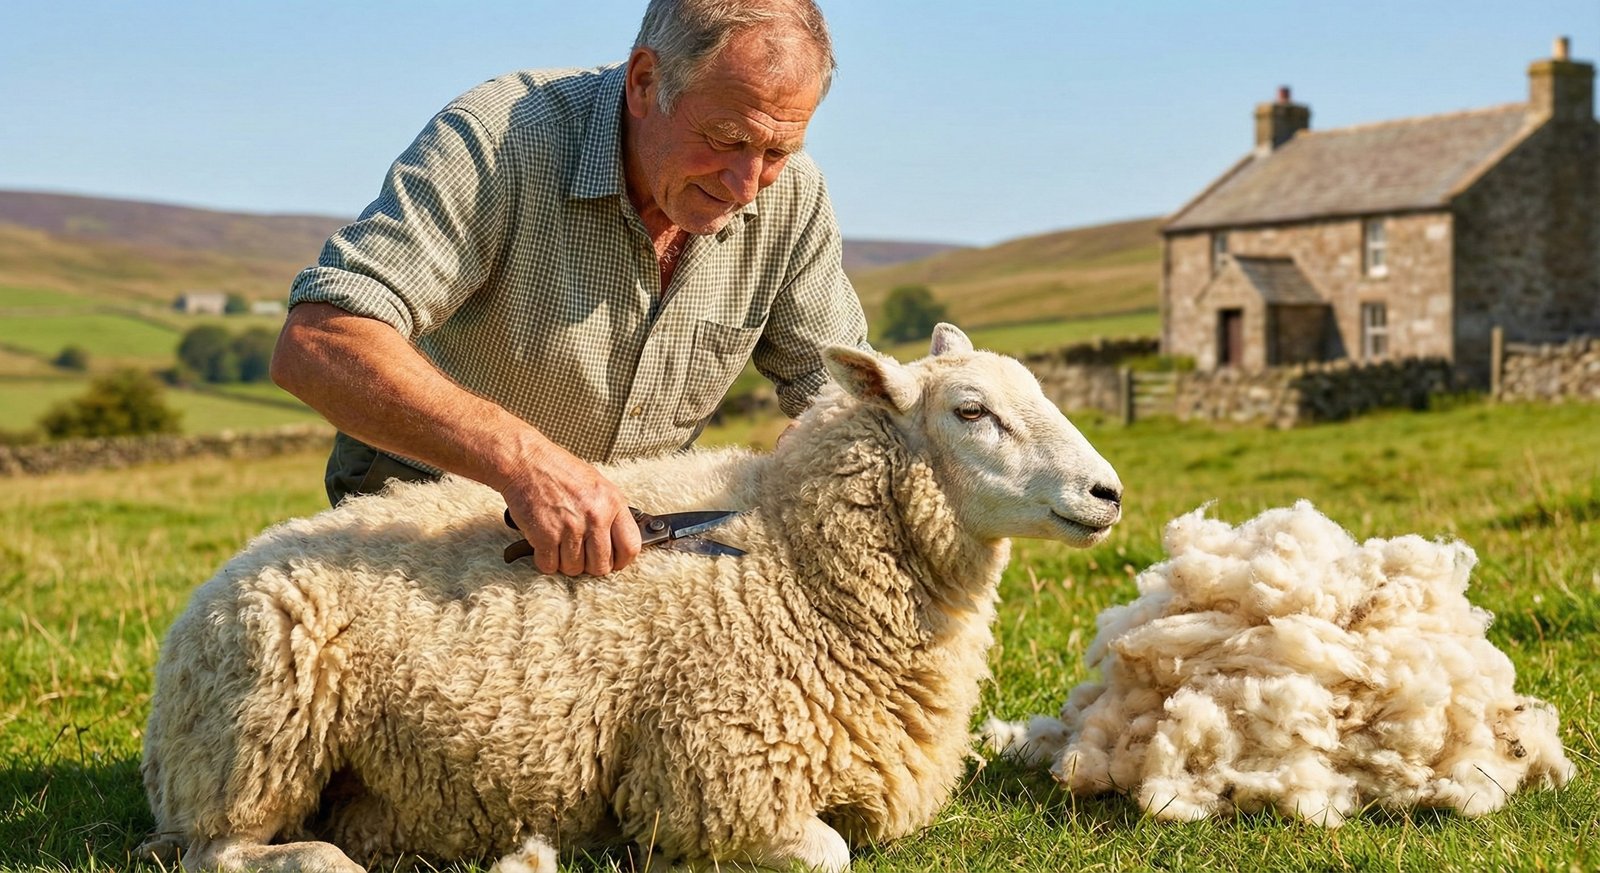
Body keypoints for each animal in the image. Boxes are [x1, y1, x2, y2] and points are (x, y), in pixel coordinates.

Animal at [138, 323, 1124, 873]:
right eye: (970, 411)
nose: (1108, 492)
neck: (794, 557)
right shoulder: (717, 782)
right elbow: (832, 852)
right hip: (256, 738)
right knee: (217, 850)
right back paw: (323, 859)